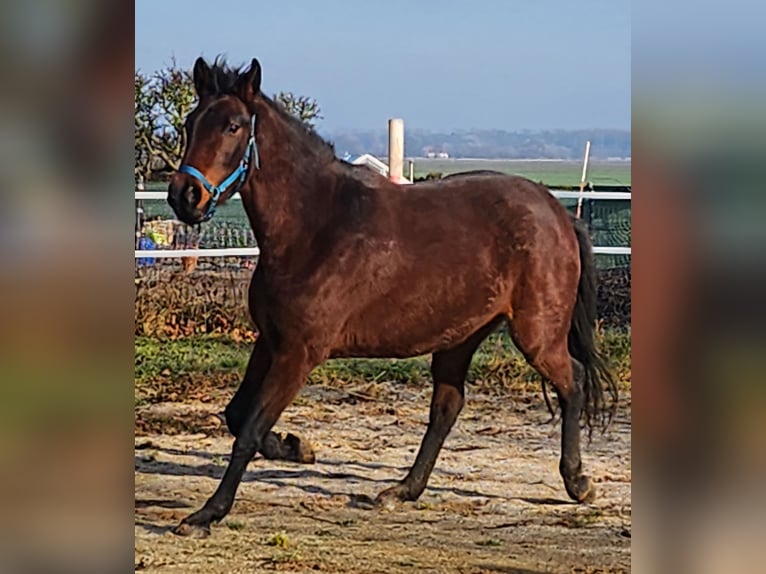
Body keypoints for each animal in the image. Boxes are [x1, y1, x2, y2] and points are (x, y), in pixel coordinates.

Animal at [166, 56, 616, 536]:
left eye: (233, 126)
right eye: (191, 123)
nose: (184, 196)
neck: (314, 228)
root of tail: (559, 214)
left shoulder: (298, 353)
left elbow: (249, 429)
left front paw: (206, 514)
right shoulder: (270, 342)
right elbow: (237, 416)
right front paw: (295, 446)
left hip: (536, 334)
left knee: (573, 381)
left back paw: (578, 481)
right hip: (460, 338)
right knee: (447, 406)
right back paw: (401, 491)